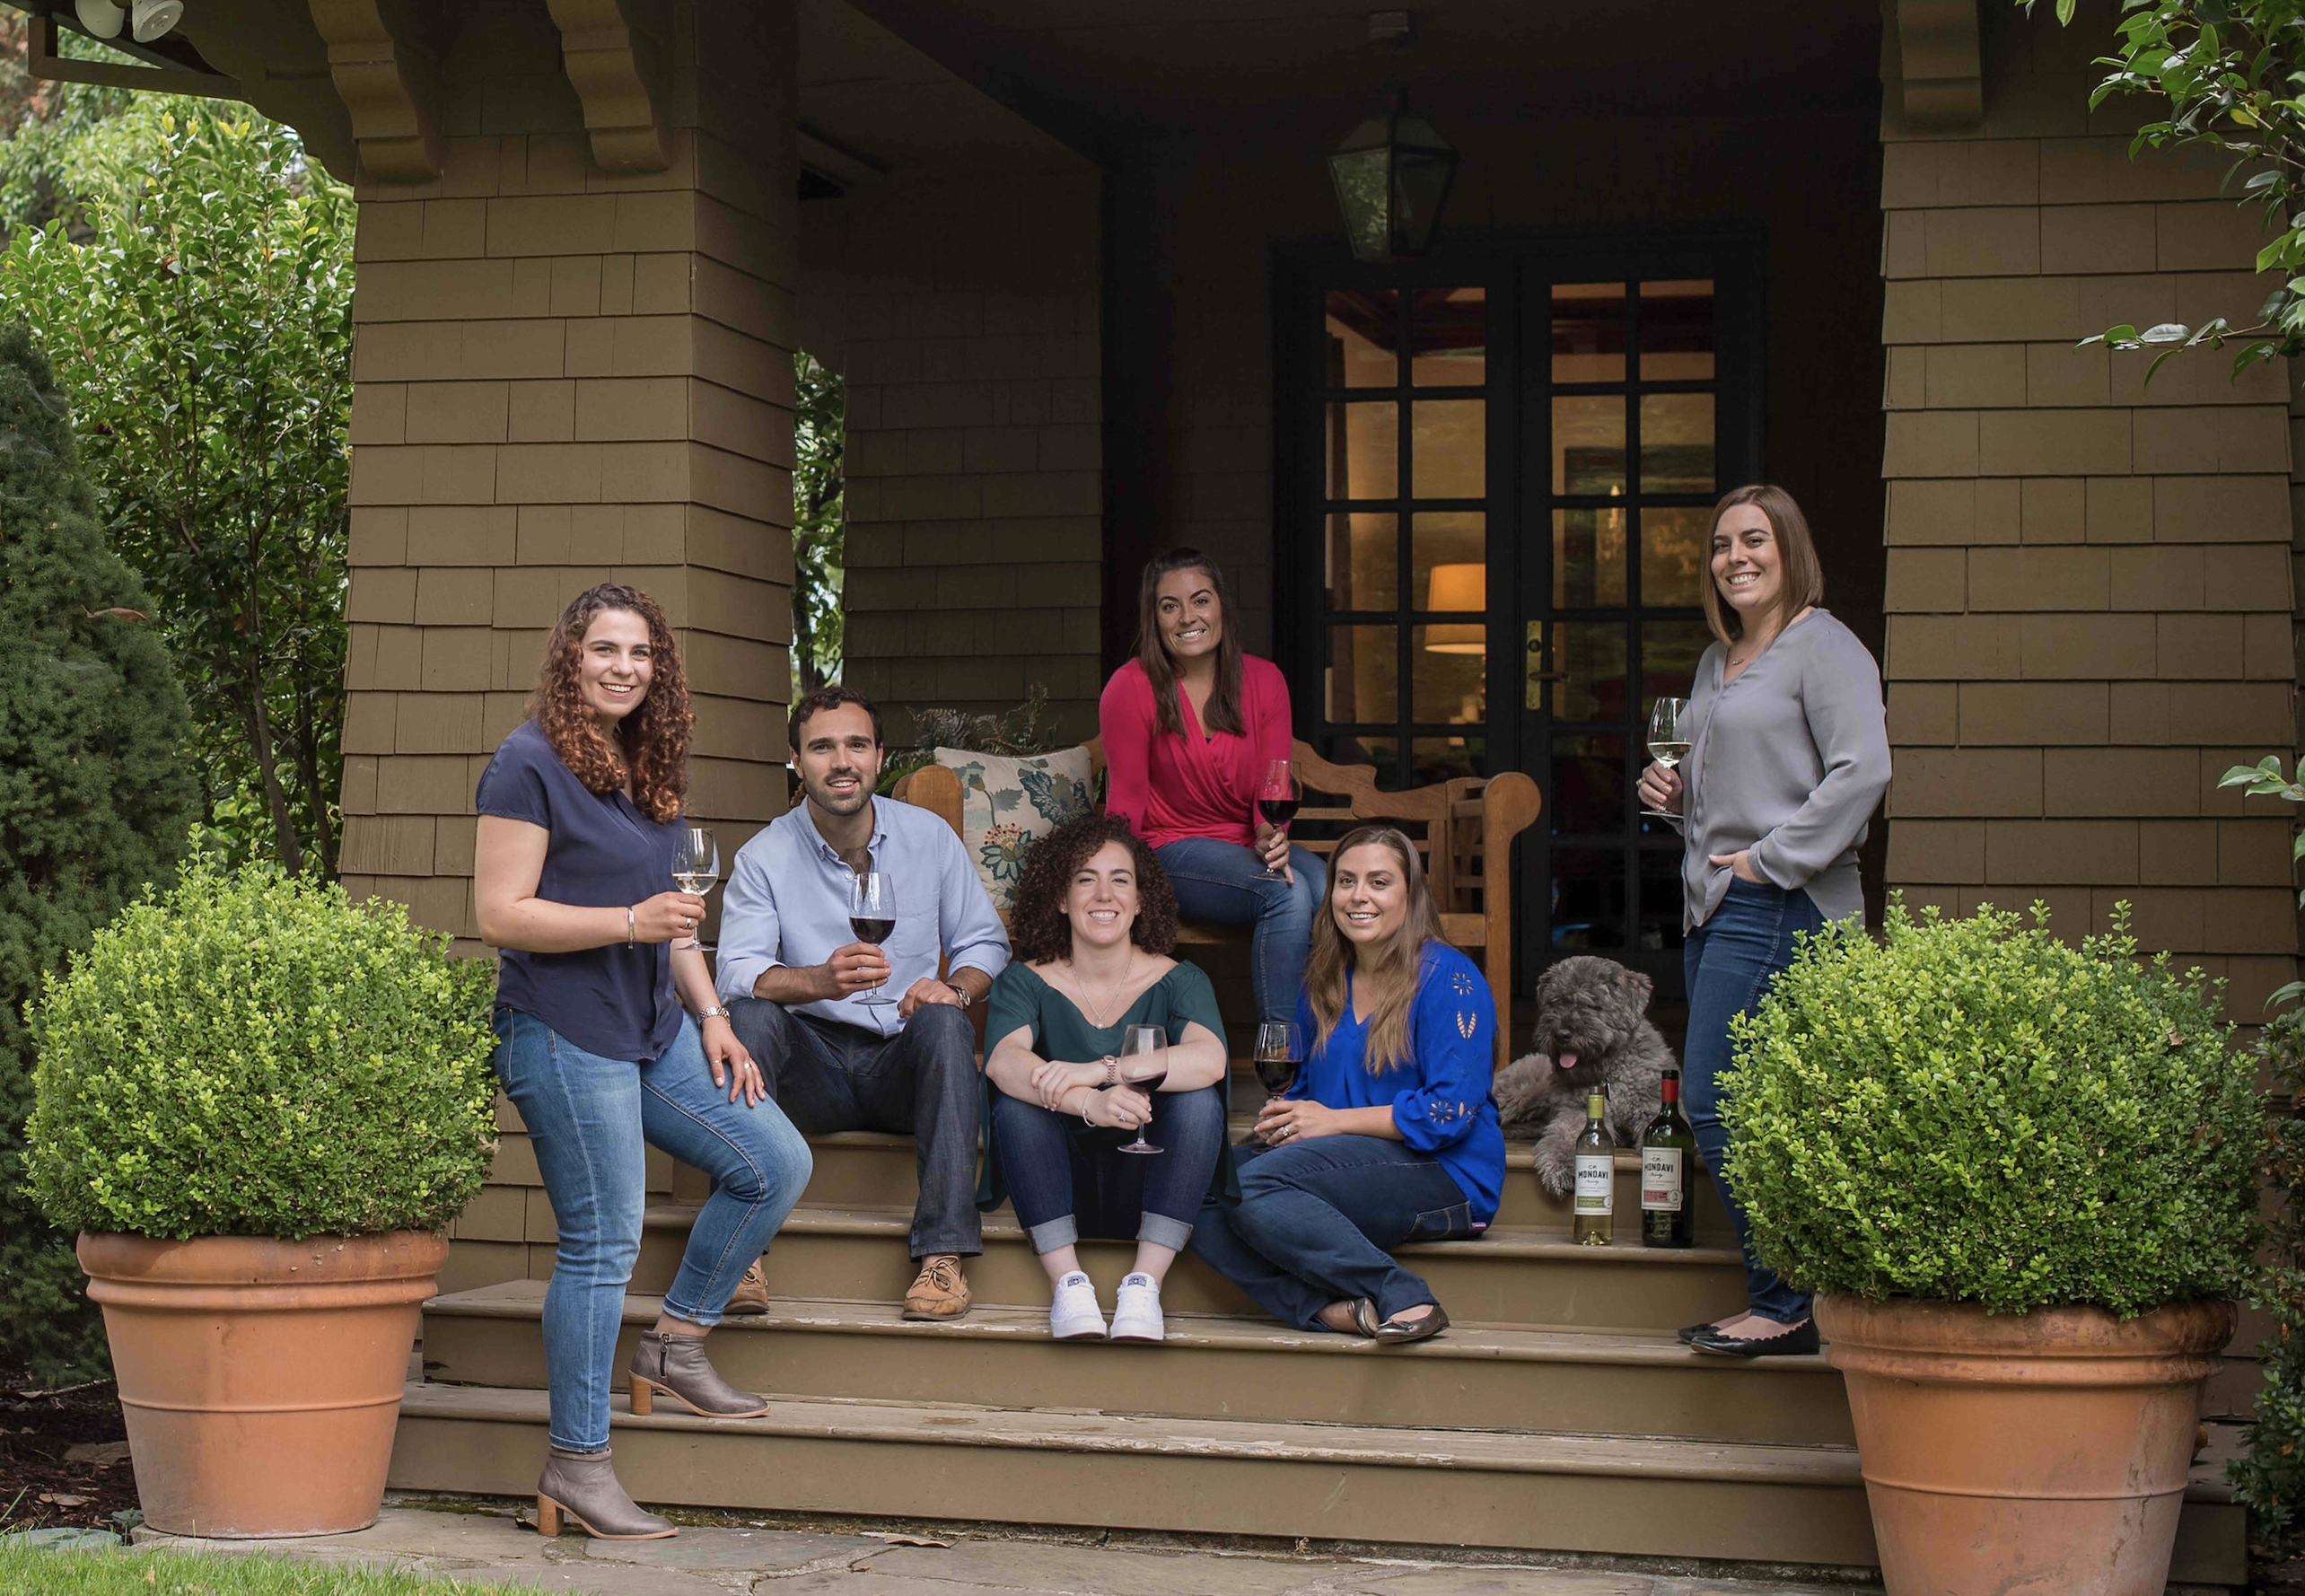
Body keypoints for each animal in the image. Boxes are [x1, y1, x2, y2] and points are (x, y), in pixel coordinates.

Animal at [1503, 945, 1669, 1199]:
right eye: (1555, 1001)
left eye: (1592, 1004)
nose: (1561, 1034)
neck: (1611, 1074)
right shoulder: (1578, 1112)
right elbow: (1567, 1137)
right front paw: (1563, 1168)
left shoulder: (1649, 1109)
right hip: (1517, 1094)